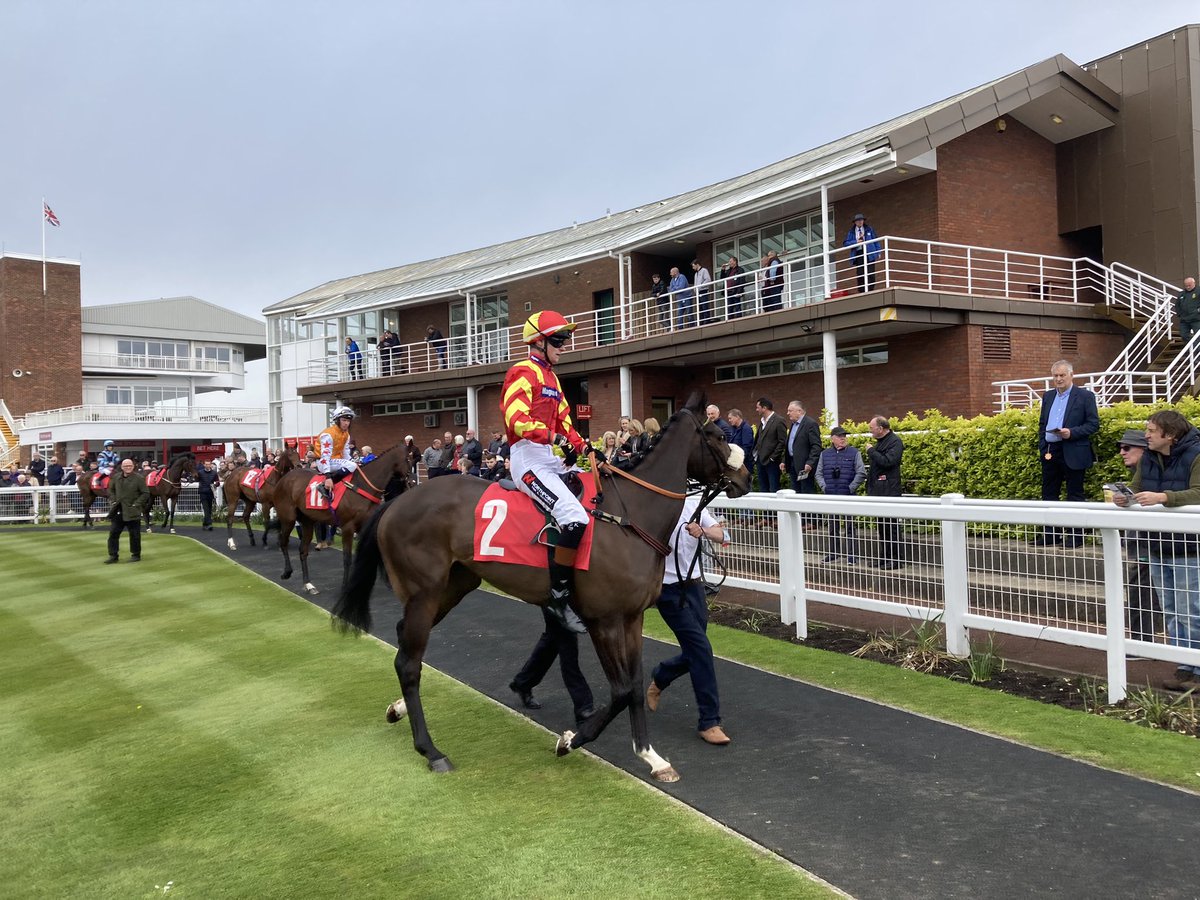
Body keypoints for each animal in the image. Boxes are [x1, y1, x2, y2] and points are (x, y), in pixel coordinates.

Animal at [271, 446, 410, 600]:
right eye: (407, 458)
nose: (411, 479)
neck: (361, 487)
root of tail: (284, 479)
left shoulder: (366, 525)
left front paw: (390, 583)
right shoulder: (348, 527)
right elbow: (347, 558)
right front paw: (345, 587)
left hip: (307, 521)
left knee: (303, 550)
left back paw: (309, 585)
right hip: (288, 519)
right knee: (283, 542)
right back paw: (287, 572)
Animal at [333, 393, 744, 782]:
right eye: (718, 436)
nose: (743, 478)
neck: (628, 517)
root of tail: (396, 503)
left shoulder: (632, 619)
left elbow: (635, 684)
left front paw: (651, 756)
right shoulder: (604, 621)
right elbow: (622, 689)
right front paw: (571, 740)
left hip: (452, 586)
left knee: (407, 646)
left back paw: (398, 708)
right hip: (424, 593)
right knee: (408, 661)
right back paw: (431, 750)